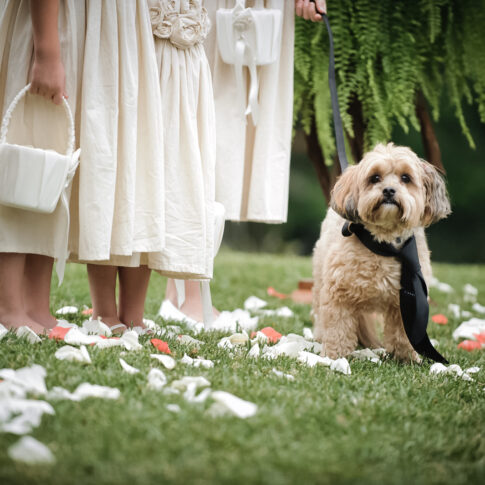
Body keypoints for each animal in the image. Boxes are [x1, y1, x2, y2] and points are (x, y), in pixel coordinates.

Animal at [310, 142, 450, 362]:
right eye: (375, 178)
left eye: (405, 178)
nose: (389, 190)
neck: (384, 245)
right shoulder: (338, 295)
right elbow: (337, 327)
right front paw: (334, 355)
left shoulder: (405, 304)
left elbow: (403, 333)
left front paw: (406, 358)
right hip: (320, 278)